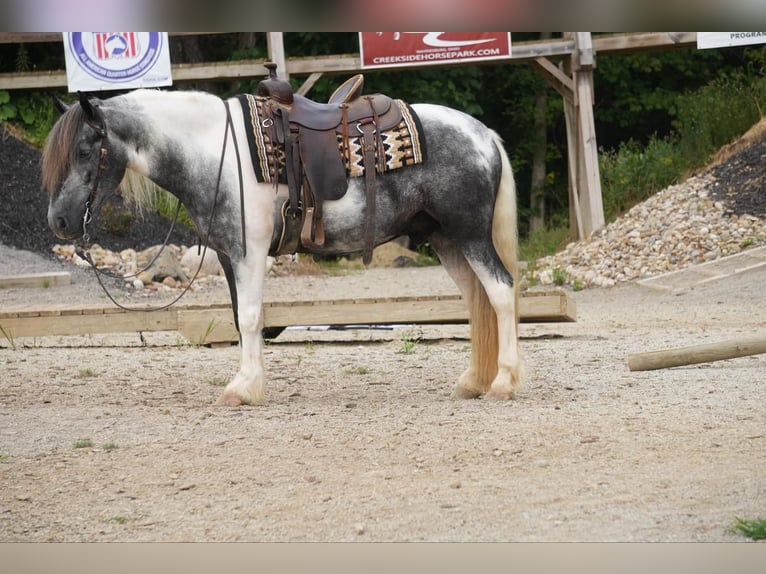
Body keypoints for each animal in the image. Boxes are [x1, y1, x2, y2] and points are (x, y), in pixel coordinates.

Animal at [42, 88, 528, 408]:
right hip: (447, 240)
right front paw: (250, 383)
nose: (59, 222)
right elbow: (241, 320)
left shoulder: (249, 253)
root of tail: (484, 134)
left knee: (501, 292)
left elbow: (251, 317)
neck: (212, 151)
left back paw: (503, 383)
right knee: (478, 300)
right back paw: (473, 381)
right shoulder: (227, 255)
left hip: (470, 235)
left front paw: (241, 388)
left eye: (85, 149)